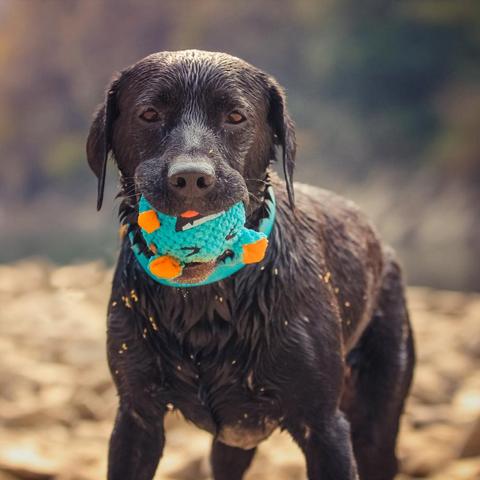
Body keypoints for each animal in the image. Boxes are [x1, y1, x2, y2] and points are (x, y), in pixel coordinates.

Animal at [88, 49, 414, 480]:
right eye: (150, 114)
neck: (207, 302)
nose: (191, 178)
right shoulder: (136, 419)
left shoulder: (324, 428)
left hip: (377, 416)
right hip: (228, 446)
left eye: (236, 116)